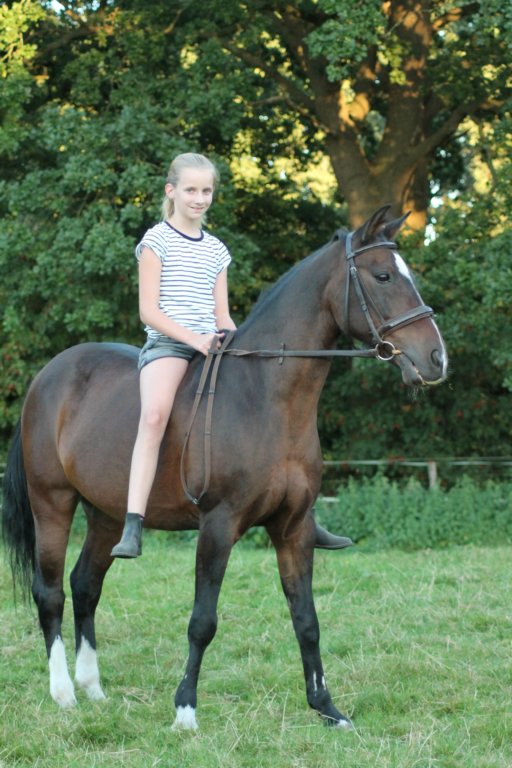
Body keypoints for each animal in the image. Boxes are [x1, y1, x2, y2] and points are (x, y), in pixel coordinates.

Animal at [1, 205, 447, 730]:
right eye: (382, 276)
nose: (436, 358)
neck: (266, 397)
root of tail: (45, 378)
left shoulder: (293, 528)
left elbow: (307, 620)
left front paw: (327, 708)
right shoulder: (218, 525)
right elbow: (203, 621)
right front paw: (185, 710)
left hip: (106, 515)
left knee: (85, 585)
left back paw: (92, 688)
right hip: (52, 504)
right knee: (50, 591)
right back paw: (64, 693)